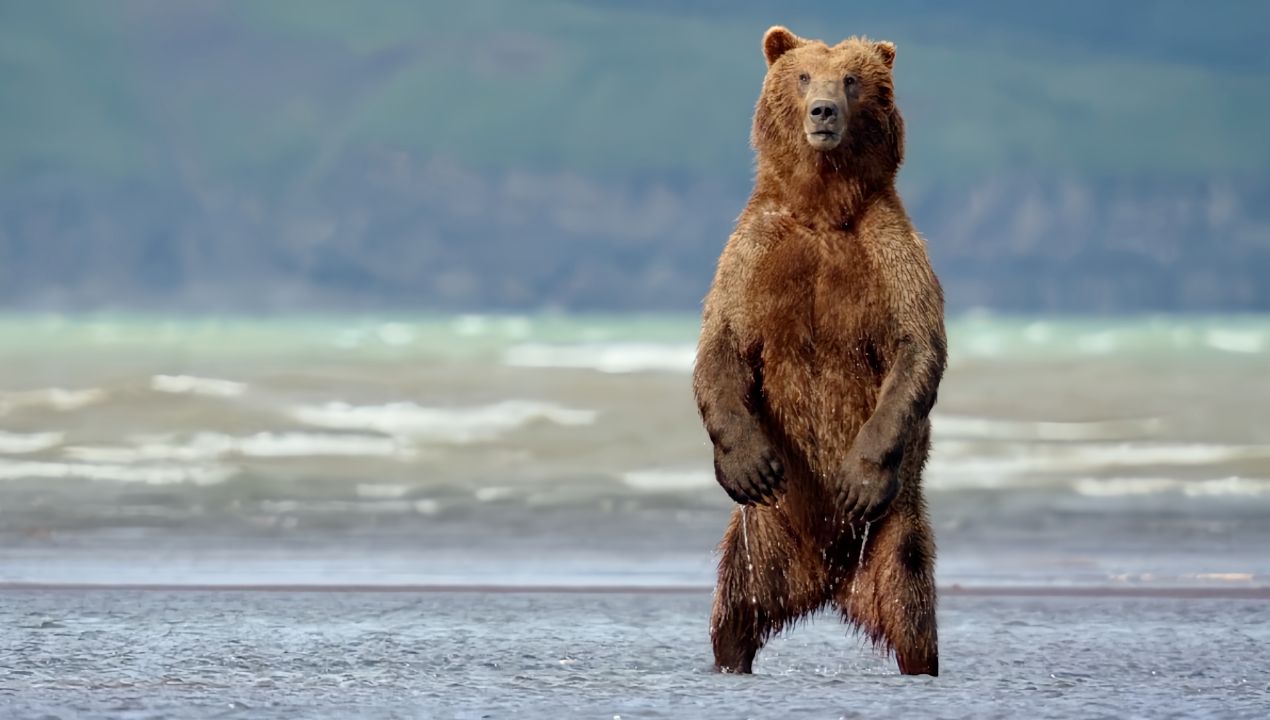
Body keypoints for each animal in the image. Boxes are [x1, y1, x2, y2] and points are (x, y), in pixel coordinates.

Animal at [695, 26, 944, 675]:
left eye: (852, 80)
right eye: (804, 76)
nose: (823, 111)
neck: (824, 208)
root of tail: (827, 583)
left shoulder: (891, 252)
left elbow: (917, 346)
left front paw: (857, 476)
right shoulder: (753, 252)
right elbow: (720, 346)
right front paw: (747, 464)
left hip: (894, 534)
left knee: (912, 610)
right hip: (759, 541)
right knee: (734, 610)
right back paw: (731, 657)